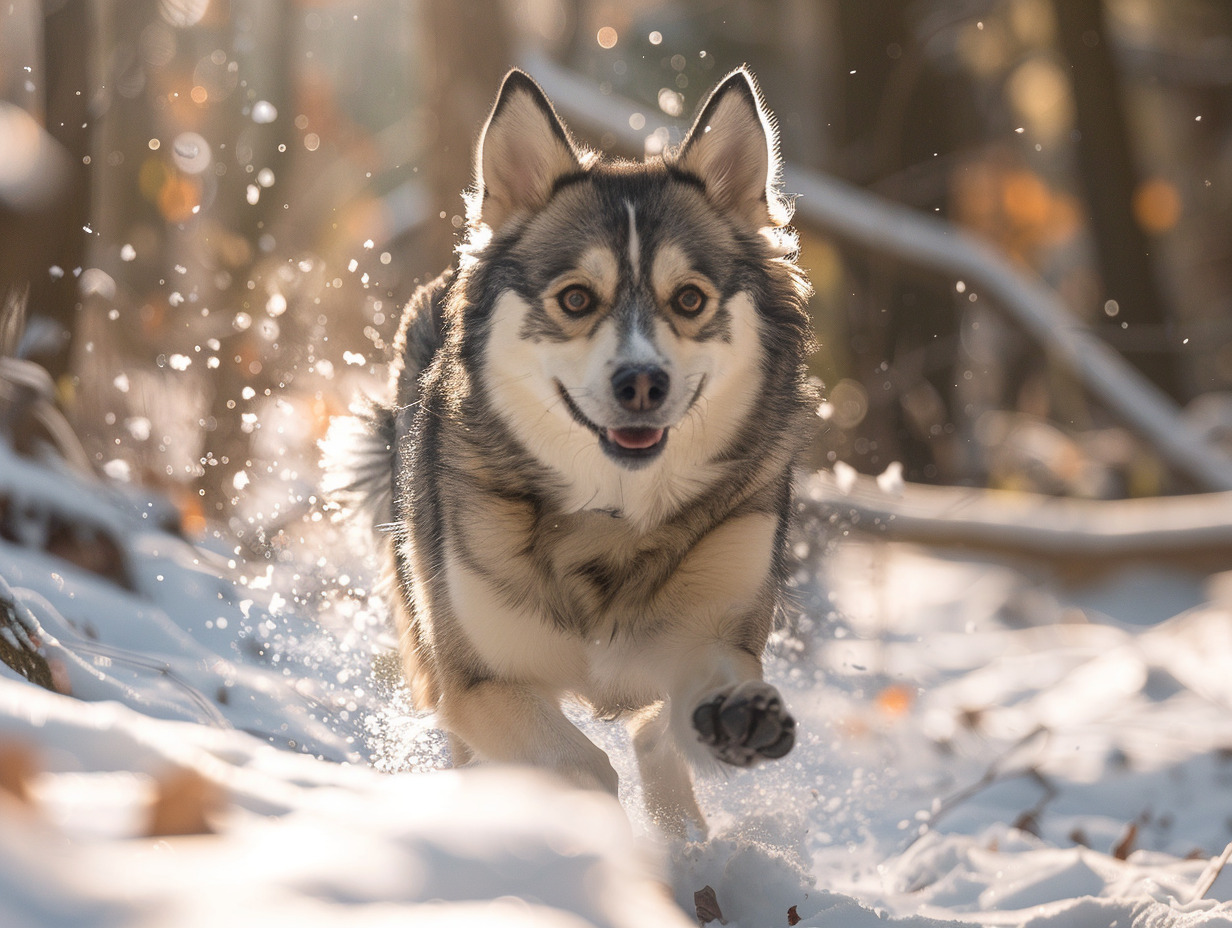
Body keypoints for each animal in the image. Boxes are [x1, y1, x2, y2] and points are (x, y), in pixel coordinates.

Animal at [325, 66, 818, 833]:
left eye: (690, 299)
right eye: (578, 299)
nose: (642, 382)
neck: (611, 521)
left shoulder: (720, 622)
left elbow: (676, 715)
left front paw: (733, 727)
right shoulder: (477, 682)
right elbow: (583, 764)